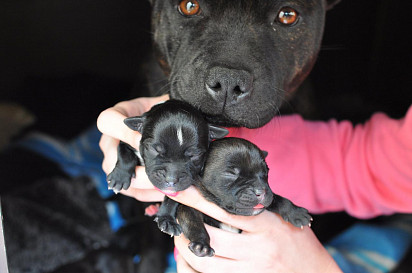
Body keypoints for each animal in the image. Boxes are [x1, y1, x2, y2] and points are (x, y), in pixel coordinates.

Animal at [106, 99, 229, 235]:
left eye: (195, 155)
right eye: (155, 149)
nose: (171, 179)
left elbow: (172, 200)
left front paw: (166, 219)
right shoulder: (129, 142)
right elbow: (123, 151)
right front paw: (119, 177)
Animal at [172, 137, 310, 256]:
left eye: (266, 172)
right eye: (231, 174)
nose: (261, 191)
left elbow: (278, 199)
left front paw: (296, 212)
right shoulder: (188, 208)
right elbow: (193, 222)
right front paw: (201, 244)